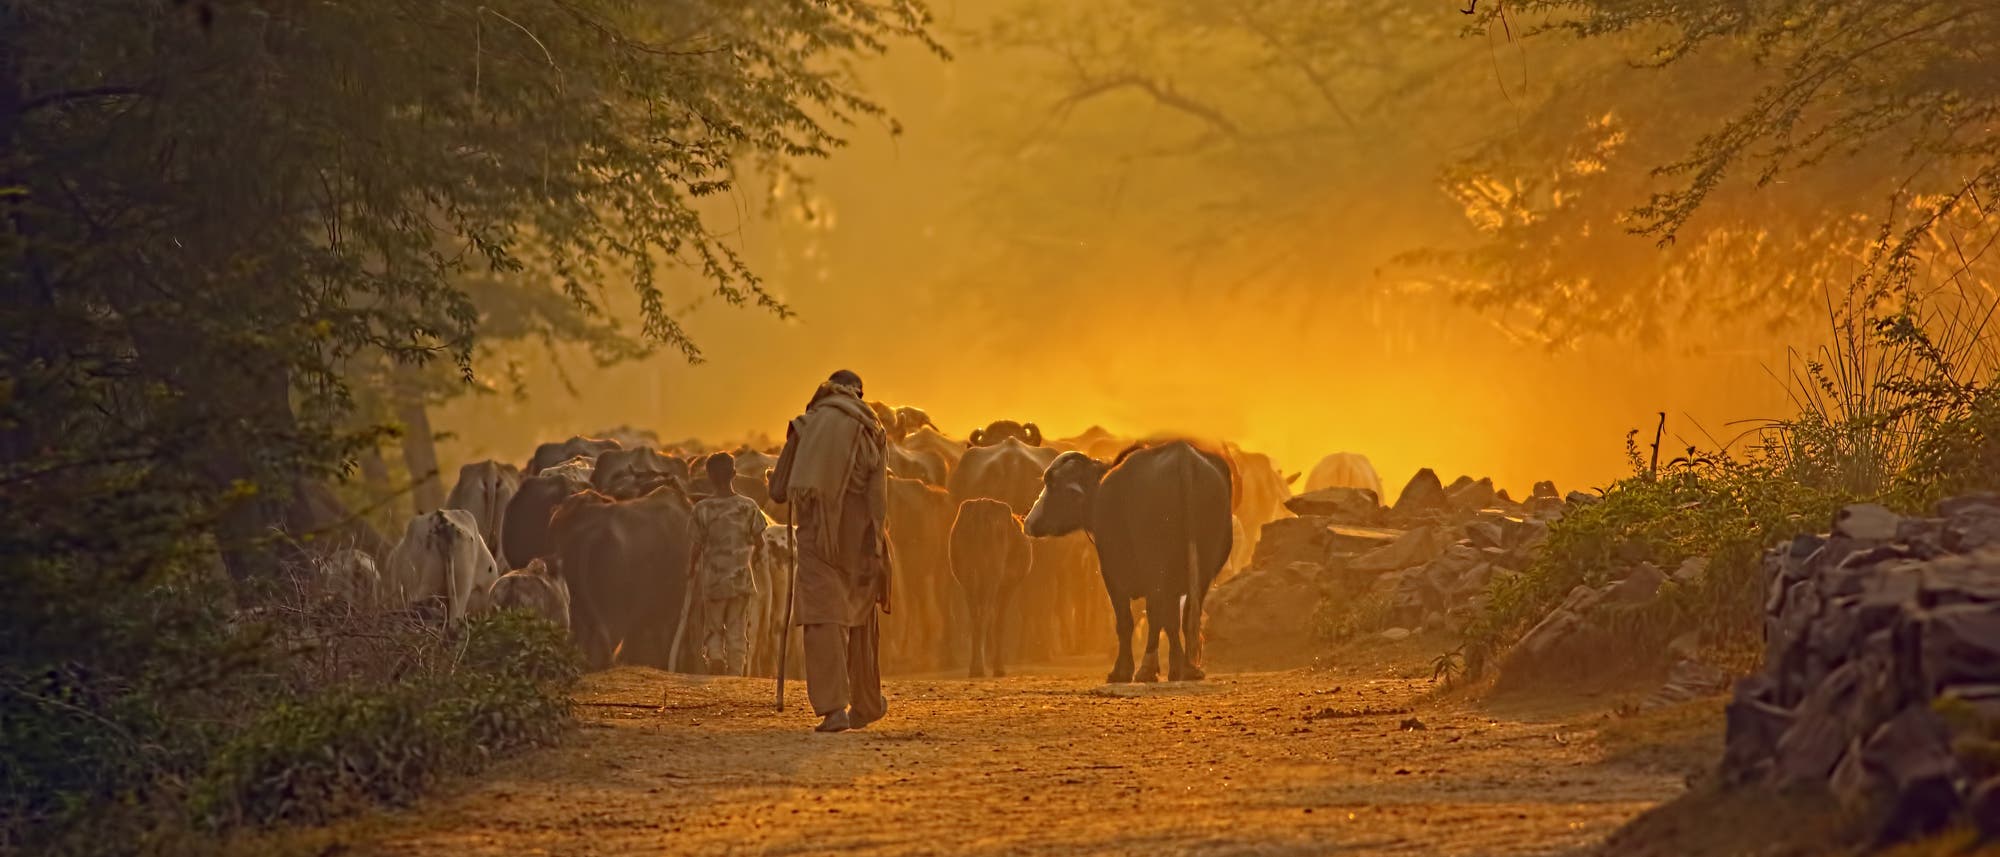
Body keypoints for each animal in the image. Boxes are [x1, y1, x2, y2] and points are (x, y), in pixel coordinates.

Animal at [1032, 442, 1232, 684]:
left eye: (1052, 485)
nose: (1029, 521)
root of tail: (1182, 456)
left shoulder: (1112, 575)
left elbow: (1126, 621)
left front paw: (1121, 671)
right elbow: (1169, 620)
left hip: (1156, 567)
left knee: (1159, 616)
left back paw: (1149, 668)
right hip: (1202, 571)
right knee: (1184, 617)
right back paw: (1187, 668)